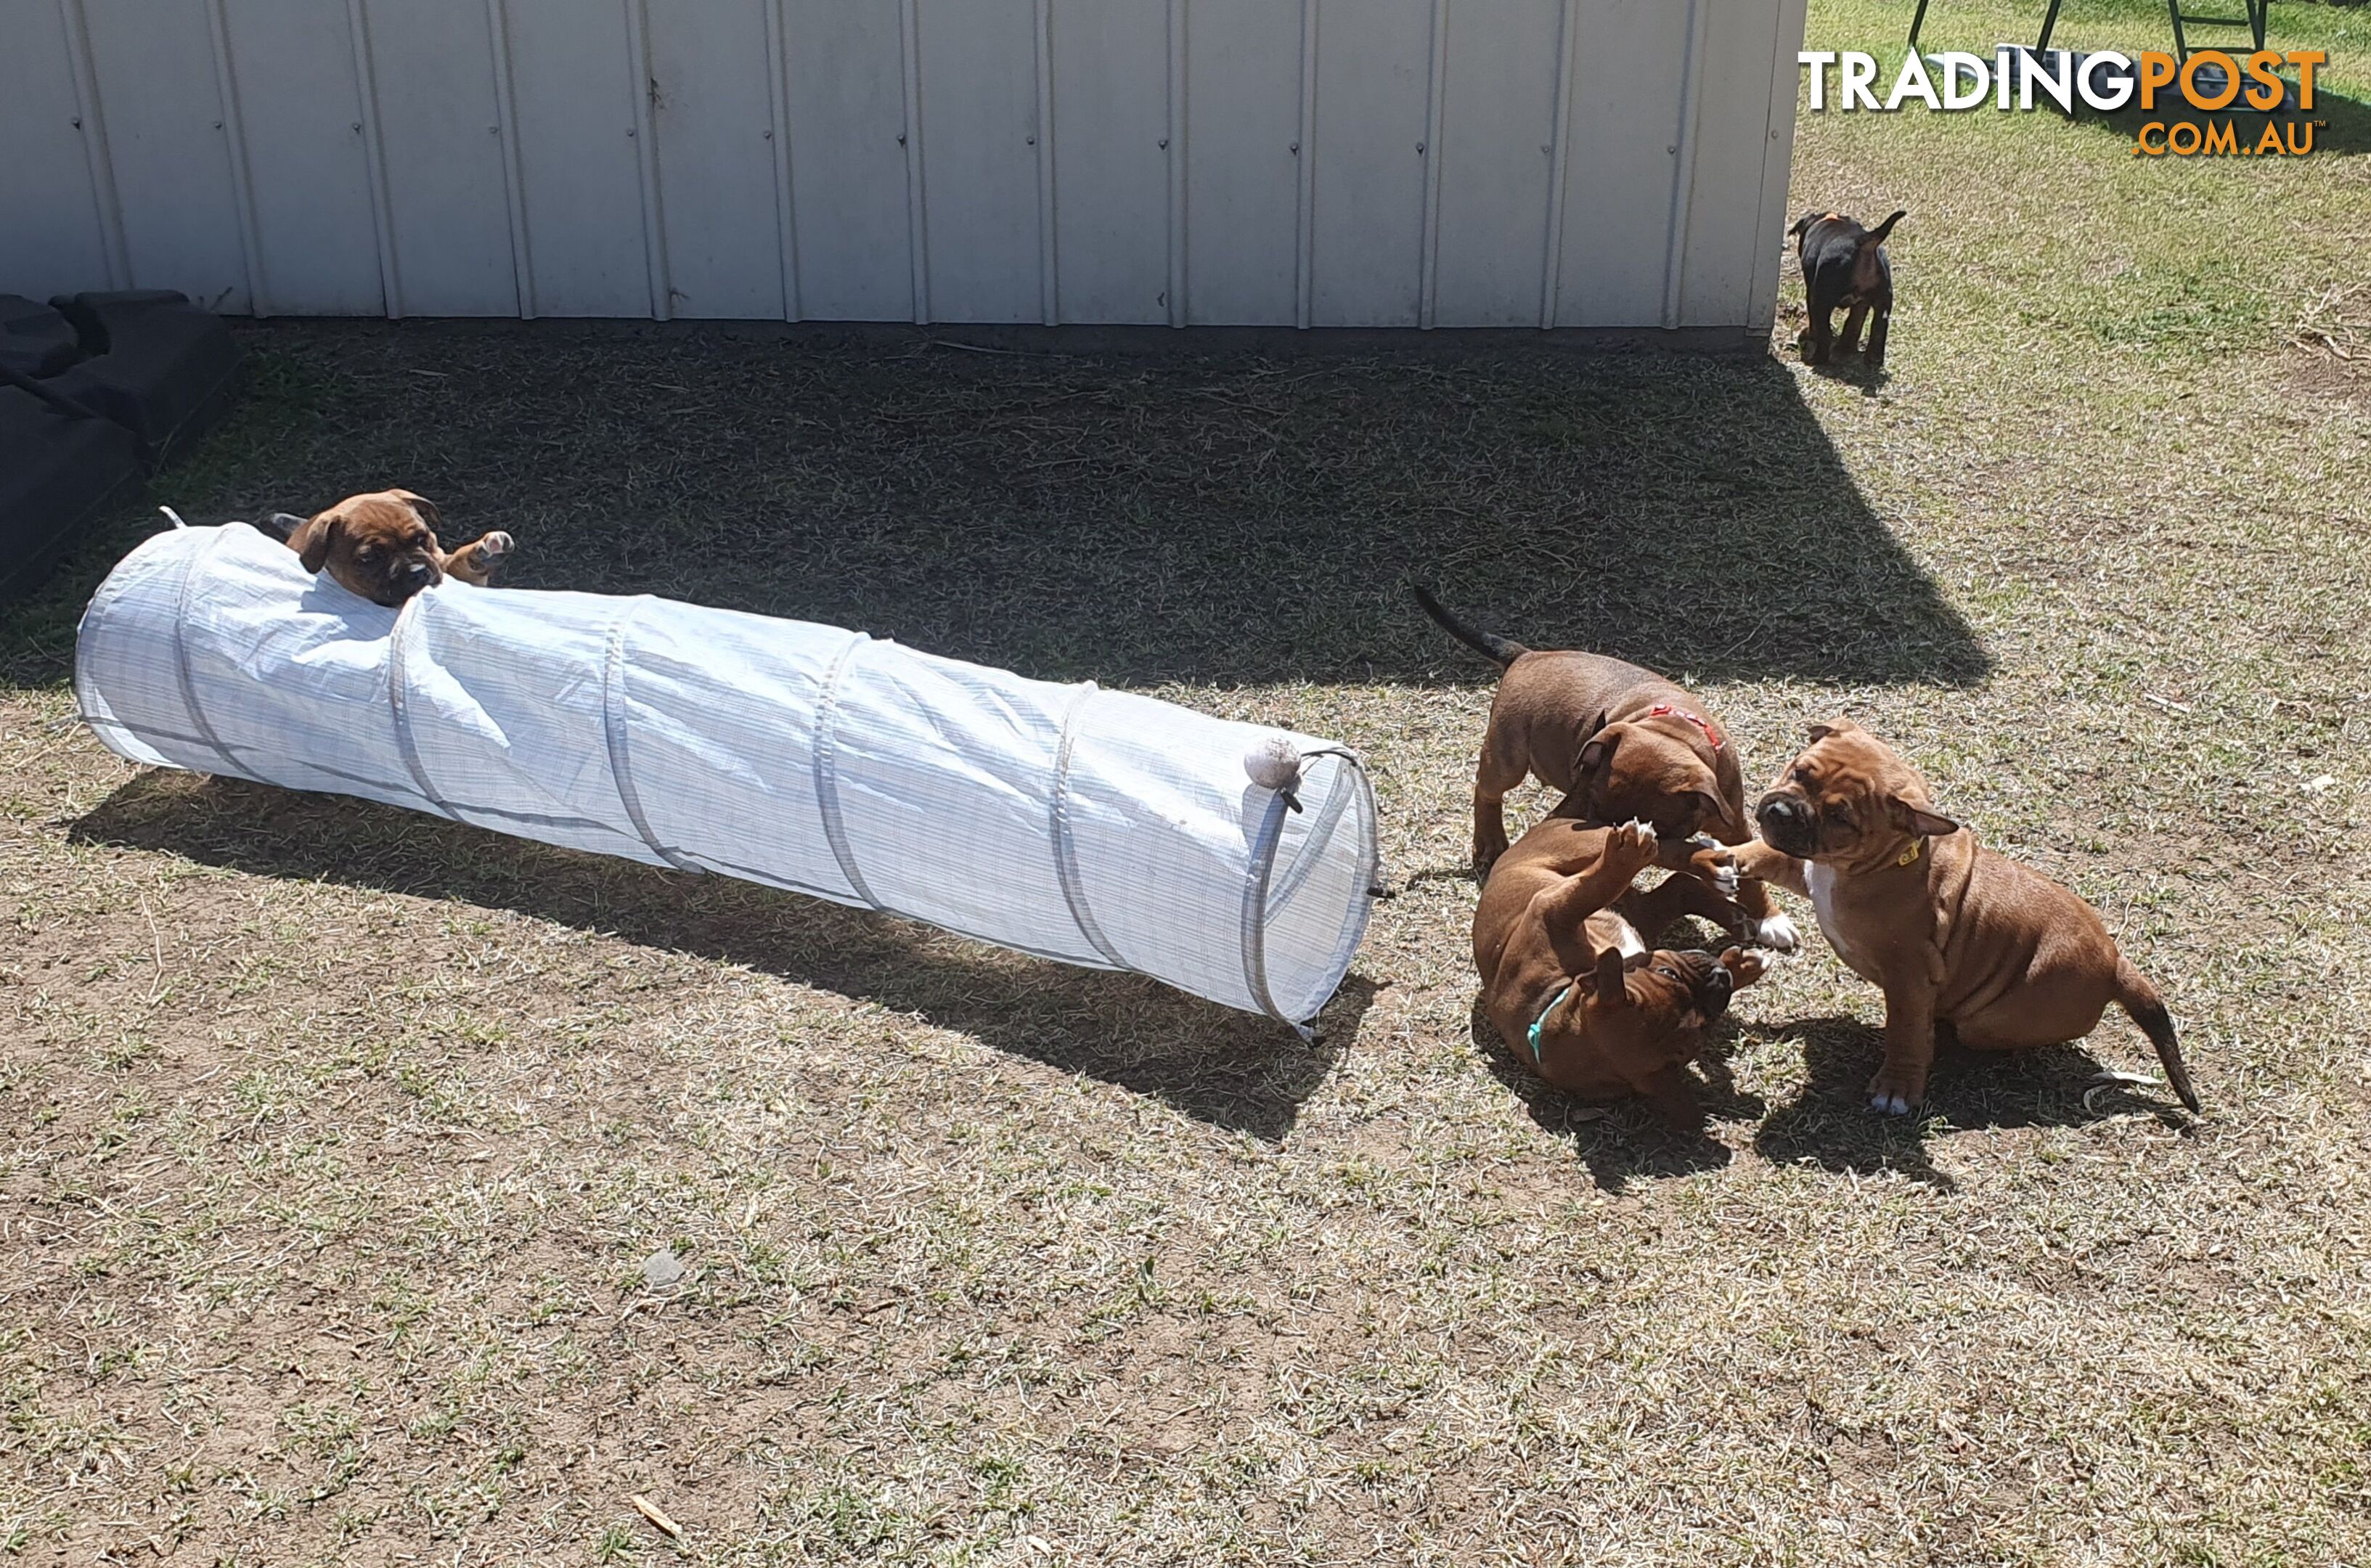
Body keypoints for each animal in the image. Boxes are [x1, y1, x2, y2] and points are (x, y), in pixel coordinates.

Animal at [1413, 581, 1783, 944]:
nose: (1612, 835)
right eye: (1593, 805)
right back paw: (1490, 841)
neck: (1675, 731)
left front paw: (1770, 918)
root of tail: (1526, 656)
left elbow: (1753, 873)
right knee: (1487, 789)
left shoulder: (1734, 822)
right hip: (1509, 756)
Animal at [1469, 807, 1773, 1124]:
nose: (1720, 975)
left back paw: (1715, 874)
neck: (1554, 1001)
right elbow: (1595, 888)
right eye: (1669, 974)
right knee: (1670, 876)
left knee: (1671, 866)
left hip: (1591, 856)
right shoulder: (1551, 912)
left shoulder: (1554, 915)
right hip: (1623, 892)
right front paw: (1741, 967)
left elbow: (1591, 891)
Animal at [1726, 716, 2200, 1119]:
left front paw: (1897, 1087)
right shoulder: (1807, 869)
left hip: (1991, 1020)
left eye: (1841, 817)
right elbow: (1769, 853)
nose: (1781, 812)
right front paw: (1728, 856)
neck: (1876, 863)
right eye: (1800, 773)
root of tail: (2115, 962)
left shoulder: (1909, 975)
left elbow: (1906, 1032)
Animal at [1792, 206, 1906, 367]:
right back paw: (1869, 357)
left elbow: (1815, 324)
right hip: (1882, 299)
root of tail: (1862, 241)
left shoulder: (1812, 294)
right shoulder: (1862, 304)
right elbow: (1855, 322)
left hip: (1821, 298)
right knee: (1877, 327)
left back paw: (1817, 359)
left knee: (1825, 333)